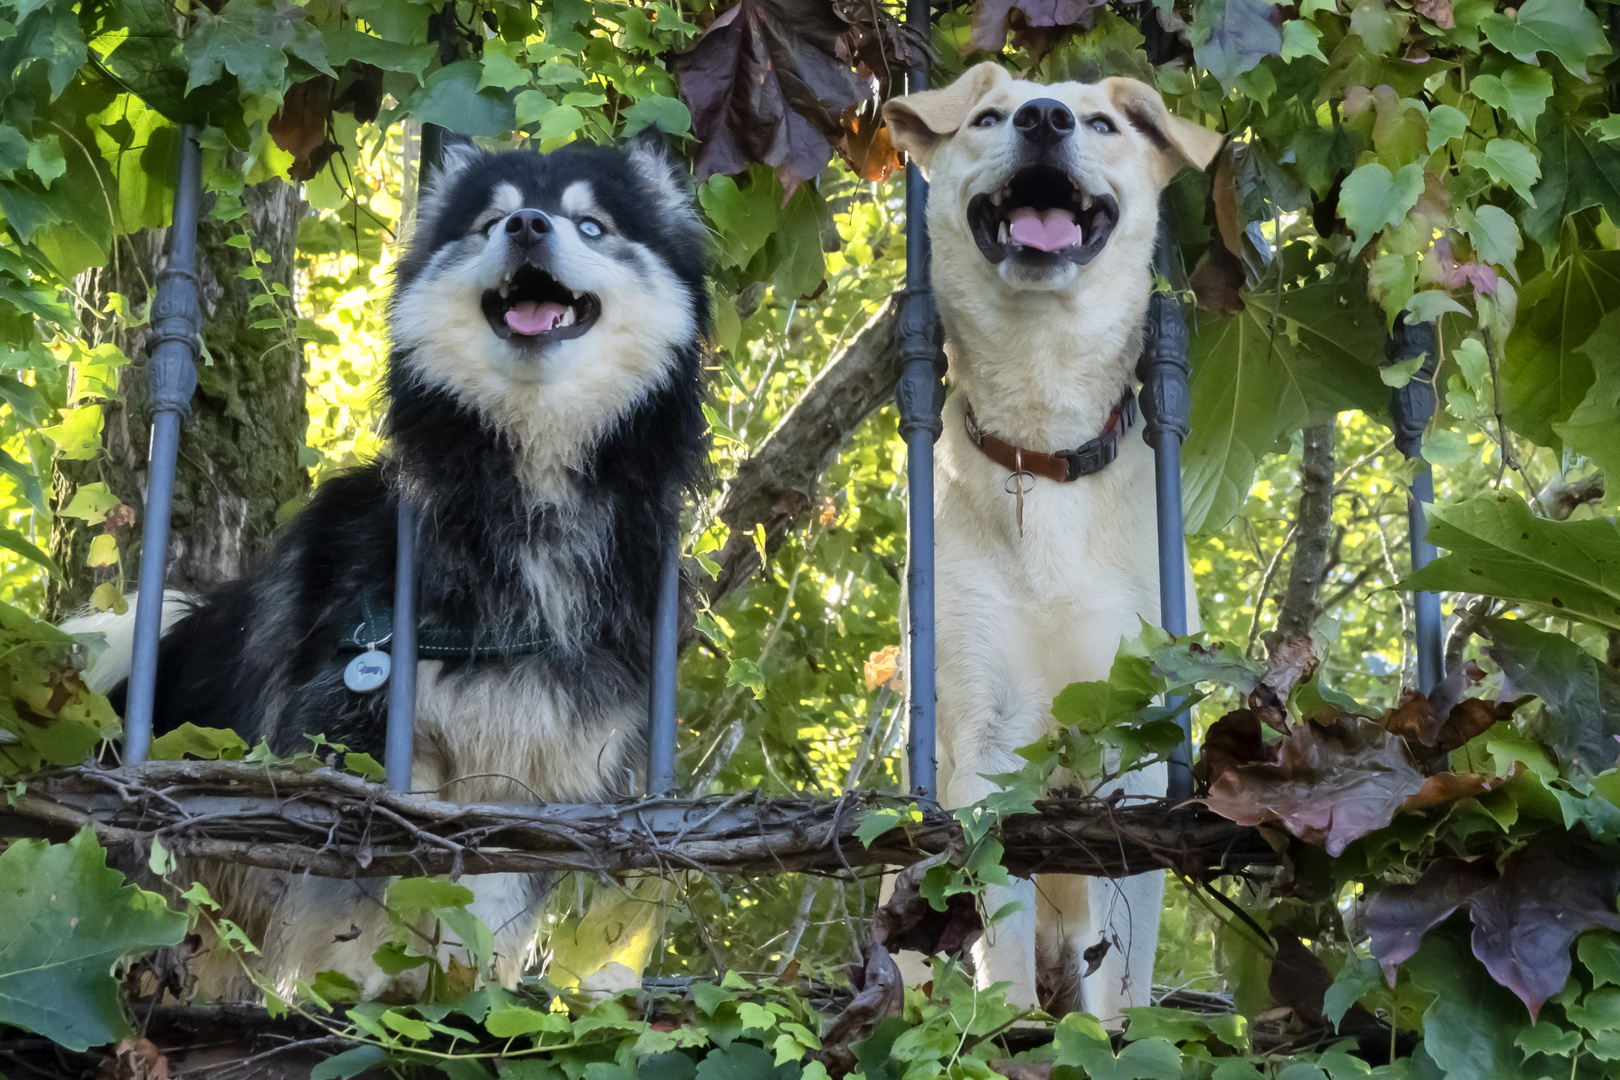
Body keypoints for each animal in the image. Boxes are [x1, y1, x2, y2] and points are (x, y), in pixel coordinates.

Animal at [74, 139, 709, 1003]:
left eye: (591, 224)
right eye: (489, 221)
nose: (527, 224)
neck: (529, 493)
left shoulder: (539, 782)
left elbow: (484, 913)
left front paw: (464, 998)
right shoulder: (361, 754)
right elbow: (376, 904)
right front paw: (368, 996)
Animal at [887, 65, 1218, 1023]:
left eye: (1102, 123)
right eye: (989, 116)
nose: (1043, 118)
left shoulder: (1138, 758)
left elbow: (1127, 964)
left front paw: (1117, 1035)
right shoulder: (984, 745)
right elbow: (994, 920)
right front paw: (1009, 1030)